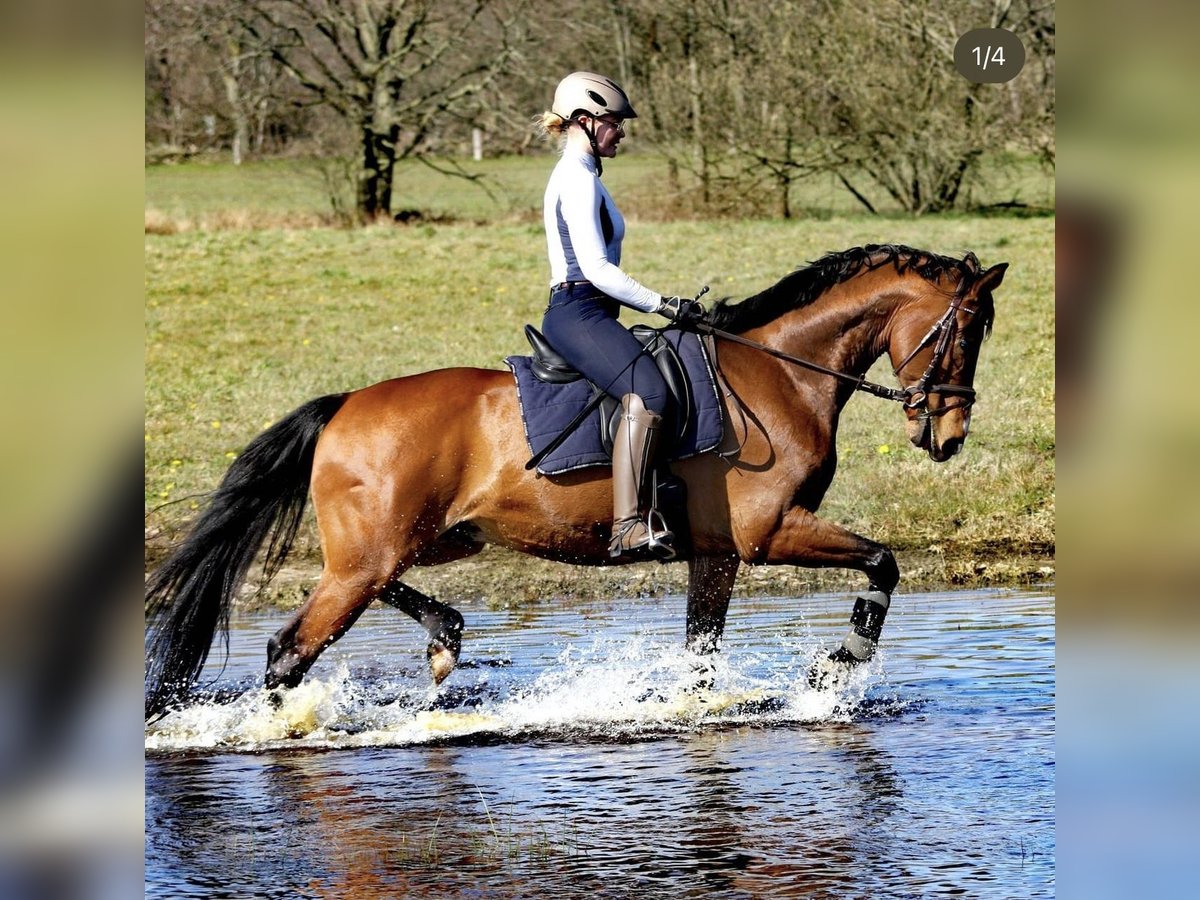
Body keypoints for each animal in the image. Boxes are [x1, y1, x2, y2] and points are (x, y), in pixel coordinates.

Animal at [147, 243, 1003, 724]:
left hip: (424, 542)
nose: (950, 437)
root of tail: (346, 404)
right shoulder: (770, 533)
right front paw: (838, 664)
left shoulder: (718, 554)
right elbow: (883, 560)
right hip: (368, 557)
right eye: (965, 330)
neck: (782, 374)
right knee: (288, 650)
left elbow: (700, 656)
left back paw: (445, 637)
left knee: (388, 593)